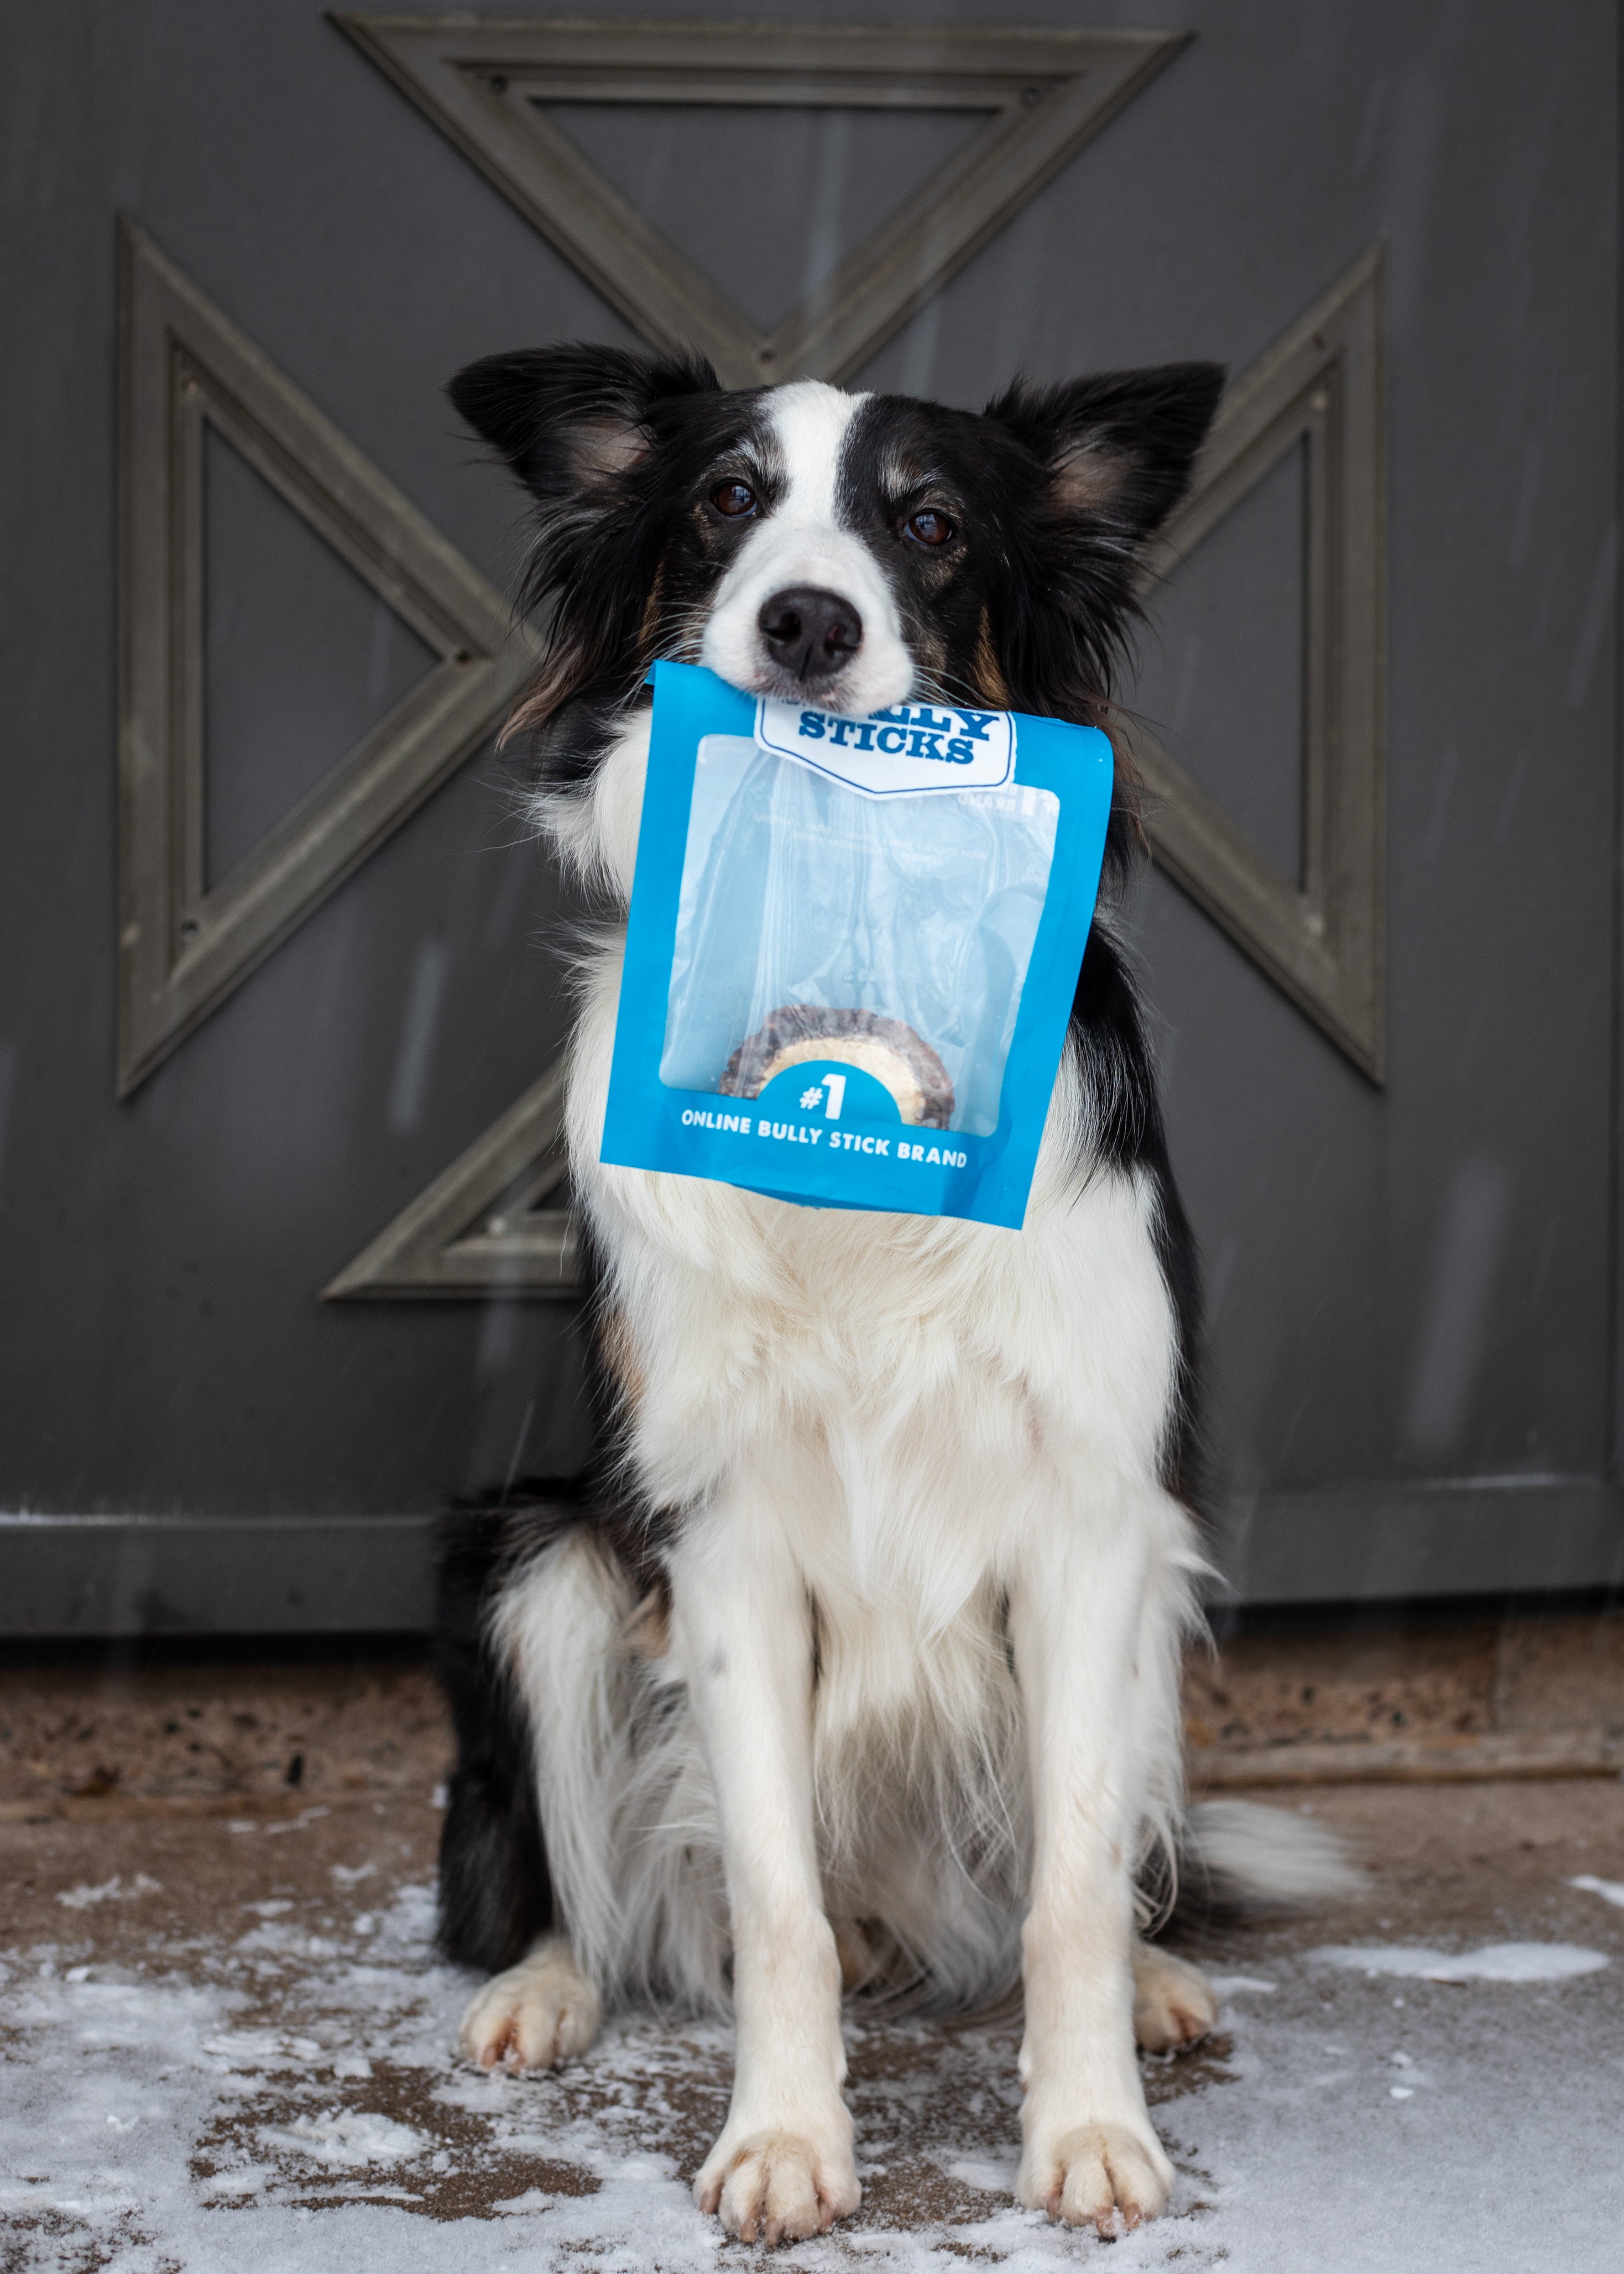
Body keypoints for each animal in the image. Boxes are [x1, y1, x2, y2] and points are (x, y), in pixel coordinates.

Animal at [434, 345, 1337, 2247]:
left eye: (926, 525)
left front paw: (1089, 2130)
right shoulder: (716, 1539)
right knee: (578, 1879)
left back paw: (1157, 1980)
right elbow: (770, 1903)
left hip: (1151, 1606)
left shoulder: (1089, 1524)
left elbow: (1069, 1886)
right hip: (538, 1558)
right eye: (723, 499)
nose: (802, 622)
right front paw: (784, 2143)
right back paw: (542, 1989)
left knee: (1082, 1875)